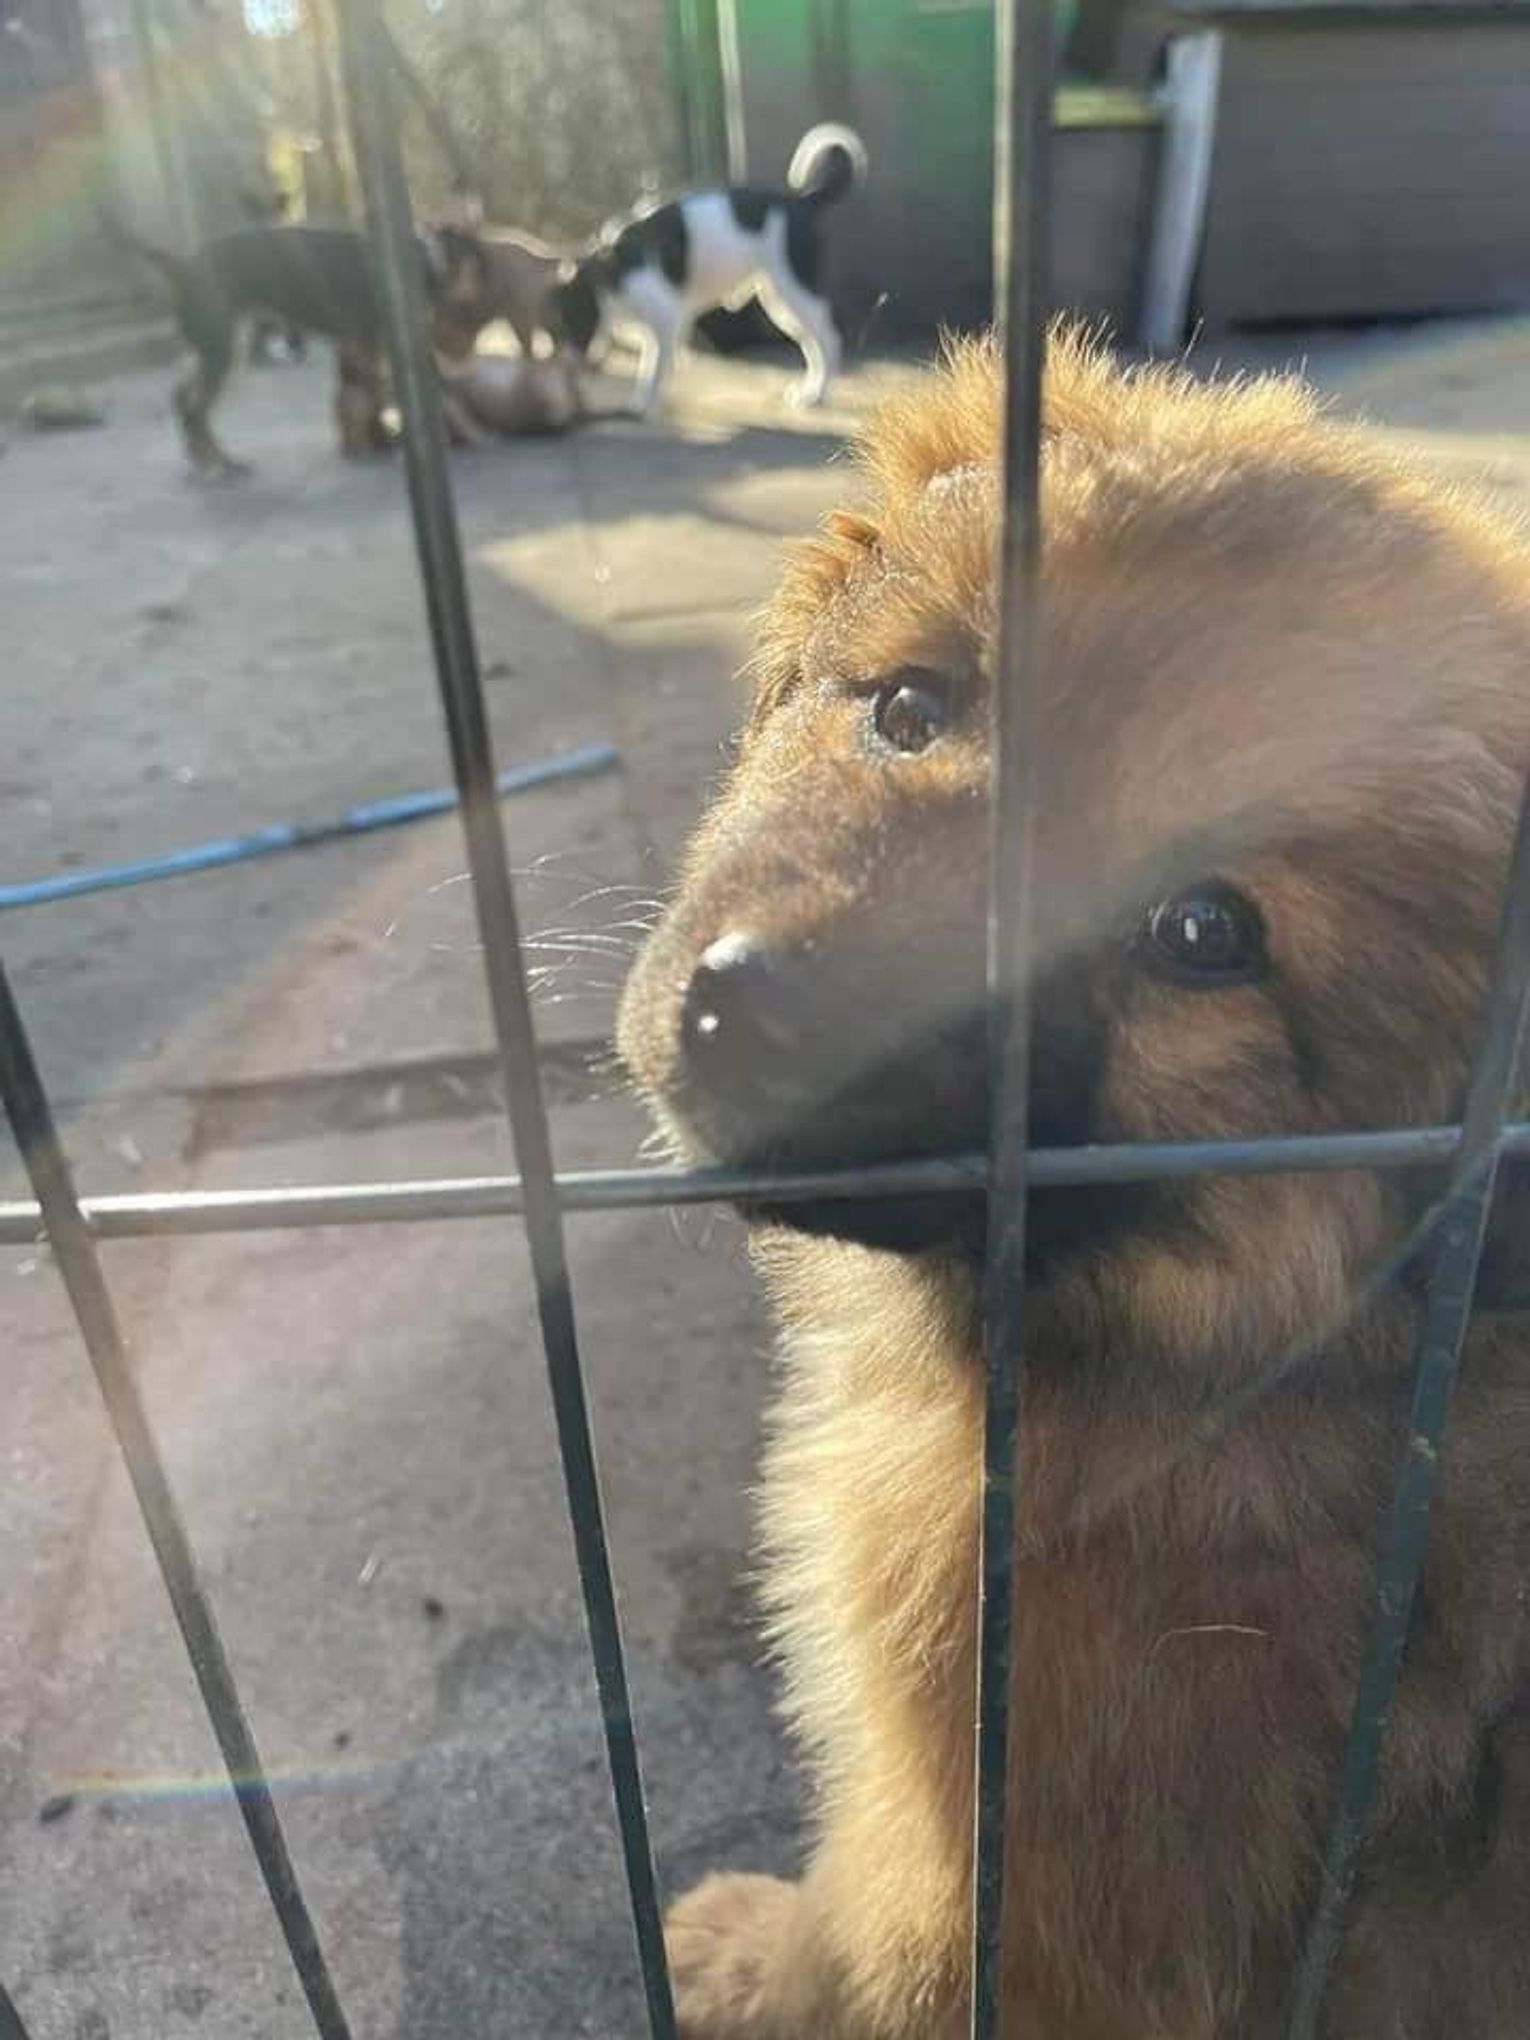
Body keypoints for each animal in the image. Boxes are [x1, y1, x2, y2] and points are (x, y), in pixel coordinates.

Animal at [108, 214, 490, 475]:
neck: (425, 261)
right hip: (220, 350)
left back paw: (201, 460)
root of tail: (181, 265)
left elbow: (375, 398)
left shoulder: (365, 349)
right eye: (481, 257)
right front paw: (385, 441)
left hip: (213, 350)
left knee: (182, 399)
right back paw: (220, 464)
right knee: (196, 408)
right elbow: (379, 399)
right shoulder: (370, 346)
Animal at [552, 124, 867, 416]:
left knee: (828, 340)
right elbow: (663, 362)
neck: (610, 270)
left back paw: (816, 394)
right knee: (812, 344)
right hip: (779, 299)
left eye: (566, 323)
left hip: (794, 291)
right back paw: (810, 390)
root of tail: (799, 201)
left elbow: (651, 368)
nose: (567, 367)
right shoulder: (668, 325)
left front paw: (644, 403)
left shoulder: (664, 320)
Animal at [618, 331, 1530, 2038]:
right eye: (908, 708)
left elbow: (848, 1938)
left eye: (1201, 934)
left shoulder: (997, 1878)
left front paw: (735, 1955)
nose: (746, 1015)